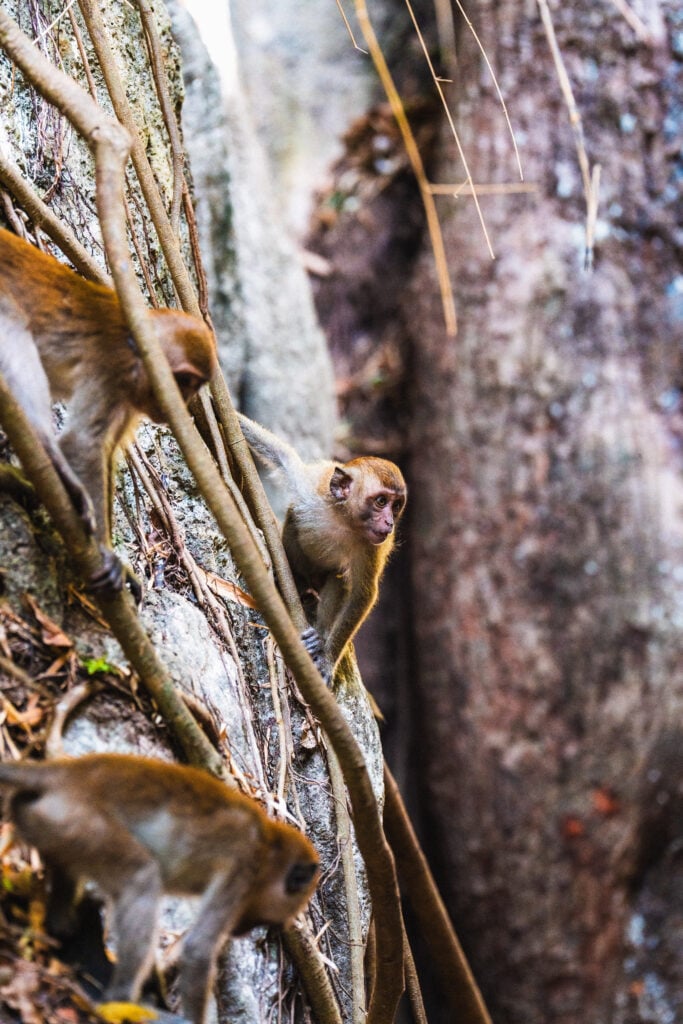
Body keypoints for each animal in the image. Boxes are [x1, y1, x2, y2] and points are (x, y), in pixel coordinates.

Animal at [0, 227, 216, 595]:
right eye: (185, 382)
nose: (184, 403)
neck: (133, 349)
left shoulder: (128, 397)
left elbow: (105, 448)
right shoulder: (111, 372)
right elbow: (84, 444)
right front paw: (103, 552)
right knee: (12, 323)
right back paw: (46, 453)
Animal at [0, 753, 319, 1024]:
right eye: (267, 921)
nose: (239, 932)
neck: (269, 847)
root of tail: (65, 774)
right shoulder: (243, 868)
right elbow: (198, 949)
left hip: (53, 823)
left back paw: (61, 923)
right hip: (79, 821)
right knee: (141, 877)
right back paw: (119, 1002)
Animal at [238, 413, 406, 683]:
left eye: (397, 505)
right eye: (382, 501)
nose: (390, 523)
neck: (343, 518)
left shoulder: (372, 547)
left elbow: (362, 593)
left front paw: (327, 659)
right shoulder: (311, 486)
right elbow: (283, 456)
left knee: (340, 578)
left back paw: (319, 636)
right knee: (294, 516)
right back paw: (297, 582)